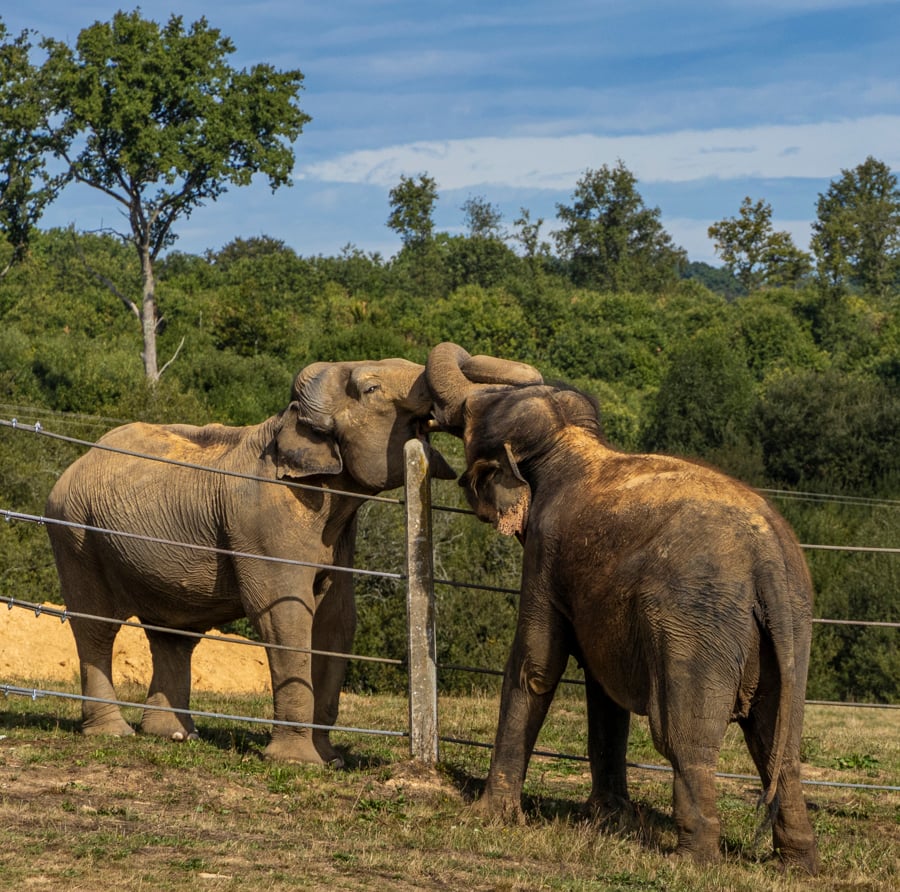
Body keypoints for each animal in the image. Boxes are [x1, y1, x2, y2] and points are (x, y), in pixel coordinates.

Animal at [44, 358, 458, 764]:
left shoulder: (339, 538)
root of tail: (77, 461)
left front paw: (330, 760)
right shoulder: (265, 519)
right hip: (76, 535)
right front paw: (296, 761)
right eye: (371, 389)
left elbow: (337, 620)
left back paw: (176, 735)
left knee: (173, 636)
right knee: (96, 625)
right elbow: (284, 614)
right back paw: (114, 733)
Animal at [426, 342, 820, 872]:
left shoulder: (546, 554)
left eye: (471, 418)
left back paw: (692, 861)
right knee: (780, 744)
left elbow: (536, 665)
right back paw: (799, 864)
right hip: (792, 627)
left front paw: (490, 816)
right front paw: (609, 819)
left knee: (684, 739)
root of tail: (769, 562)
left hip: (698, 626)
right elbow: (603, 687)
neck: (570, 443)